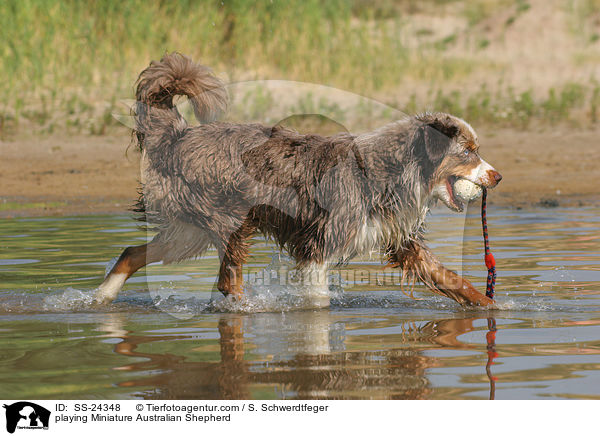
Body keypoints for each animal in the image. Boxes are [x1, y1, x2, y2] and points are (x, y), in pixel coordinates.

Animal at [95, 52, 502, 306]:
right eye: (468, 152)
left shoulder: (401, 241)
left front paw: (493, 307)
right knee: (227, 281)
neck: (395, 169)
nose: (497, 176)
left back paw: (101, 298)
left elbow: (452, 279)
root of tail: (178, 136)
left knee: (132, 253)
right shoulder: (319, 245)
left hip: (187, 232)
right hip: (227, 219)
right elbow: (317, 304)